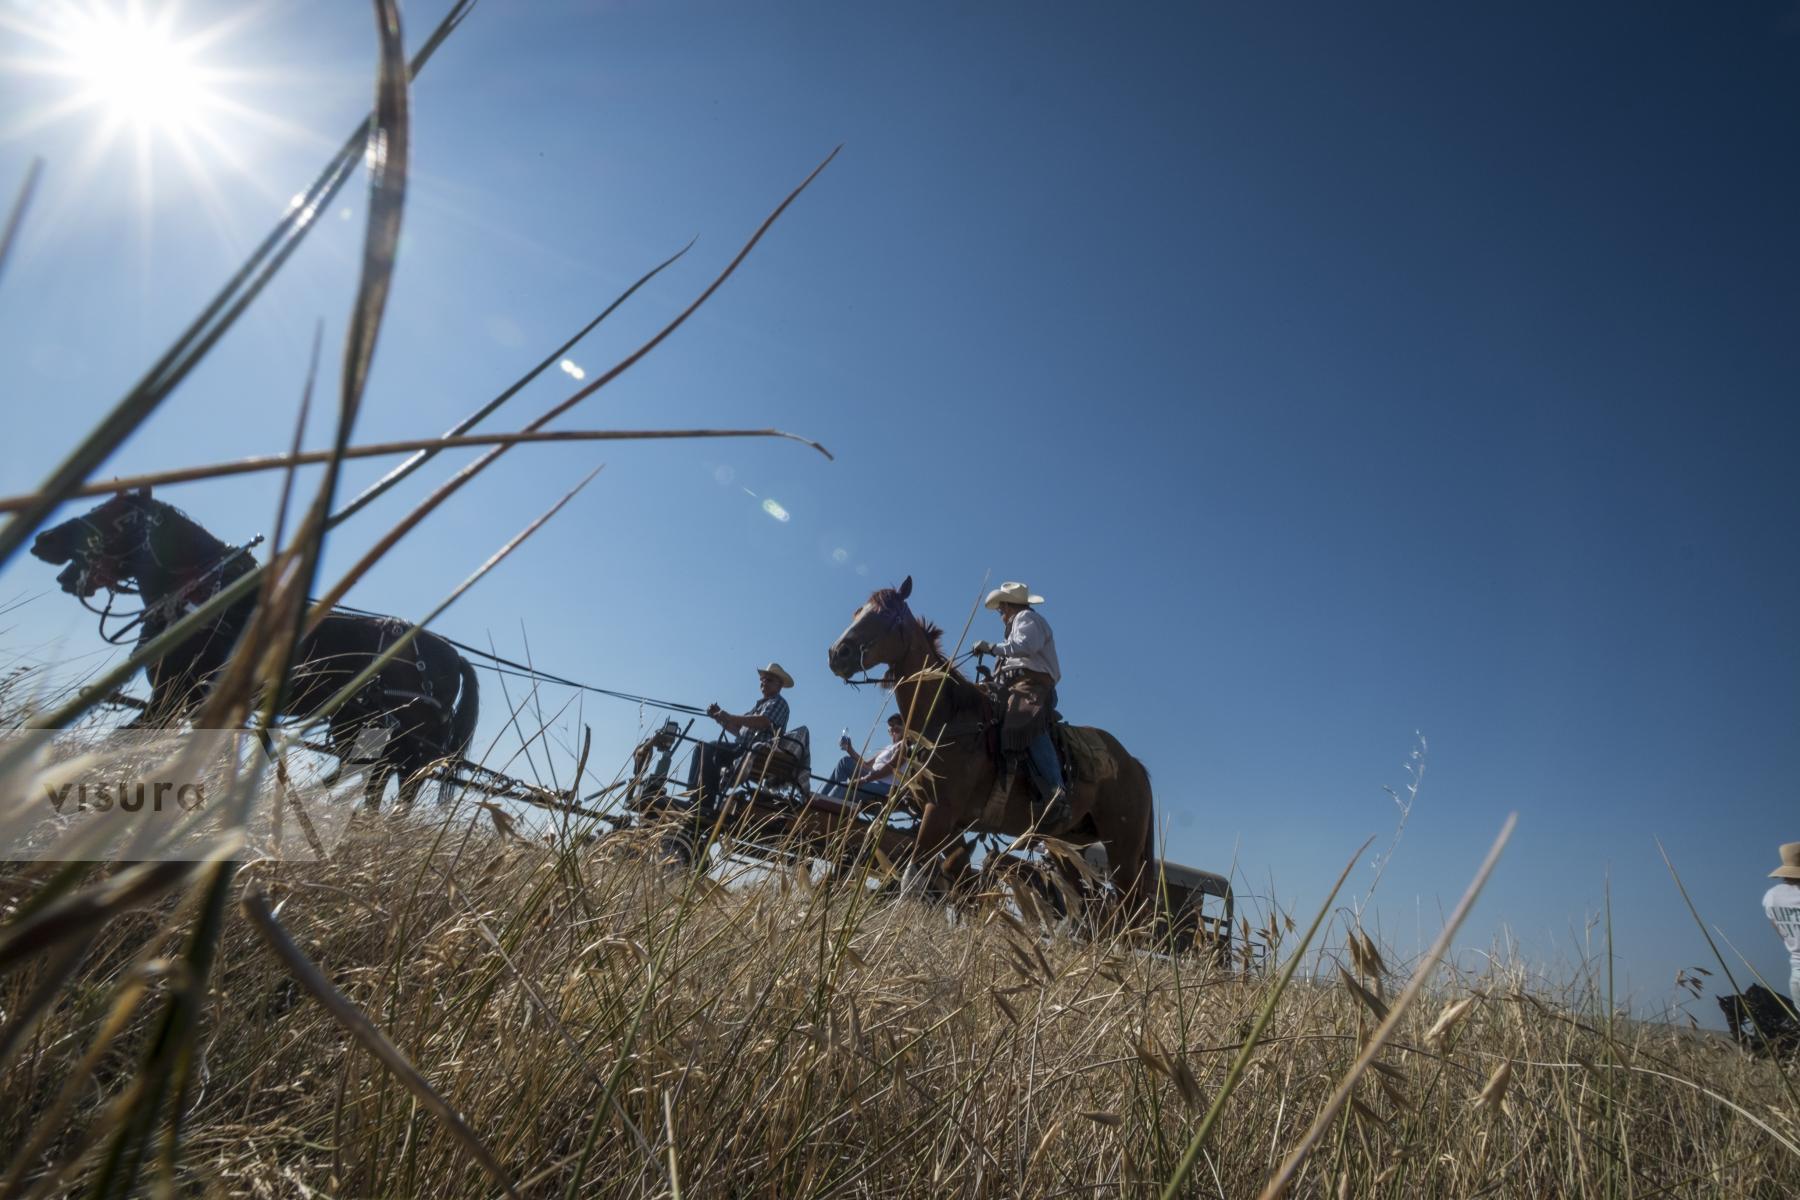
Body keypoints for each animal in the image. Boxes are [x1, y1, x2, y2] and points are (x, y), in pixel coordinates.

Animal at [30, 489, 478, 805]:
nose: (42, 539)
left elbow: (119, 745)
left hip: (406, 745)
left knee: (392, 792)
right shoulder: (187, 706)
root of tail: (452, 655)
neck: (210, 597)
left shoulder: (171, 698)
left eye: (114, 515)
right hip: (367, 733)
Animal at [824, 575, 1152, 913]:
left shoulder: (940, 811)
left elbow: (912, 879)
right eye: (858, 611)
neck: (946, 717)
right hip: (1071, 847)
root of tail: (1134, 765)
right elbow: (933, 868)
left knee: (1128, 910)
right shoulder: (947, 820)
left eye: (887, 614)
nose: (838, 653)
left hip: (1123, 851)